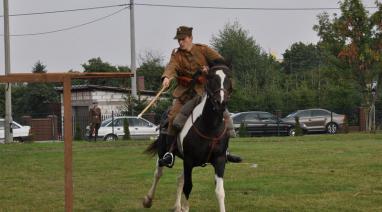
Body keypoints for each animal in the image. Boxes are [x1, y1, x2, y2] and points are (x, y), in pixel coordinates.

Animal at [143, 64, 233, 212]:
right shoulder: (189, 160)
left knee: (180, 179)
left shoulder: (219, 160)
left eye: (228, 80)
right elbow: (188, 186)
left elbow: (220, 191)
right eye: (212, 79)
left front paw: (182, 207)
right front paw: (185, 207)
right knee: (158, 173)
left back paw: (177, 206)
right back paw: (148, 200)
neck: (209, 127)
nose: (221, 103)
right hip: (163, 152)